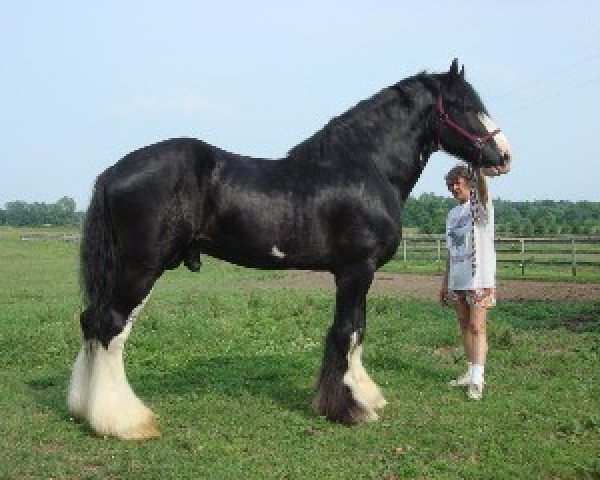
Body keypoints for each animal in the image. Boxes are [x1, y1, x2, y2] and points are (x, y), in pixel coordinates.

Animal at [70, 59, 510, 438]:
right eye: (464, 105)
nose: (504, 156)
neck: (363, 165)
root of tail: (113, 172)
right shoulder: (355, 270)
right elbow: (345, 332)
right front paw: (347, 408)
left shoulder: (359, 274)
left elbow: (358, 331)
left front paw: (365, 396)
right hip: (141, 267)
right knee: (110, 326)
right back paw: (125, 422)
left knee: (92, 322)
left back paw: (84, 409)